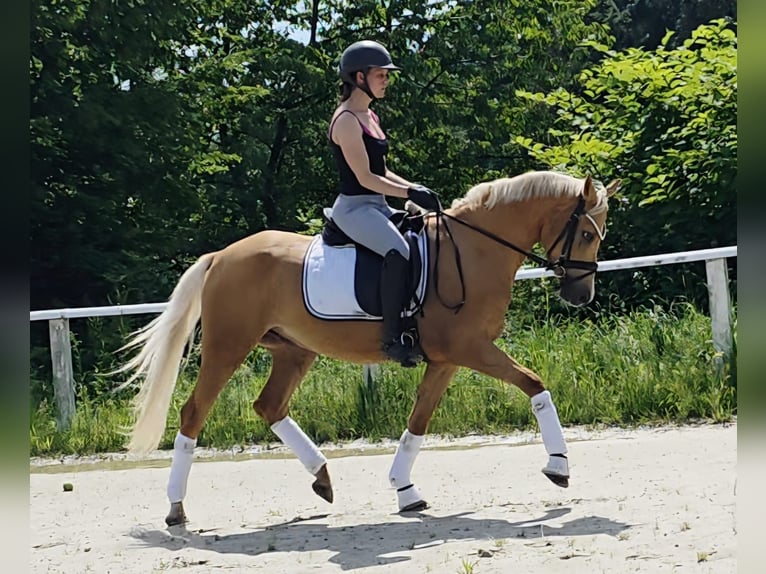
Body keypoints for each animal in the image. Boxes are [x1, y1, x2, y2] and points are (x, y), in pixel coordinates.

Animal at [117, 170, 620, 526]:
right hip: (228, 346)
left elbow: (418, 420)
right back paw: (176, 508)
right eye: (587, 234)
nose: (582, 295)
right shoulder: (470, 348)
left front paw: (405, 490)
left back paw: (322, 478)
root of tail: (221, 256)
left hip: (294, 350)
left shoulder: (447, 359)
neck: (475, 250)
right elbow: (534, 384)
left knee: (269, 406)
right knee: (194, 413)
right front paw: (558, 466)